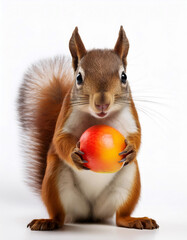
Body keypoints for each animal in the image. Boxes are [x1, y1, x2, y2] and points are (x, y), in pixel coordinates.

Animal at [17, 26, 159, 231]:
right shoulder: (66, 117)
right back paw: (49, 221)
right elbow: (59, 140)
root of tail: (91, 214)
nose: (102, 103)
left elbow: (137, 135)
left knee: (120, 216)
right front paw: (74, 154)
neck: (99, 118)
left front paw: (131, 148)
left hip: (128, 181)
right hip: (54, 179)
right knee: (59, 214)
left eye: (124, 76)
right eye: (78, 77)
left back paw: (134, 220)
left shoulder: (131, 116)